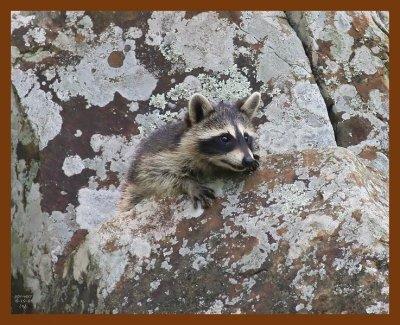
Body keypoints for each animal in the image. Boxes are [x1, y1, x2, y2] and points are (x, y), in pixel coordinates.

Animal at [118, 91, 262, 210]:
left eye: (246, 137)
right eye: (225, 138)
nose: (248, 160)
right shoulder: (155, 159)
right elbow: (155, 177)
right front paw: (189, 183)